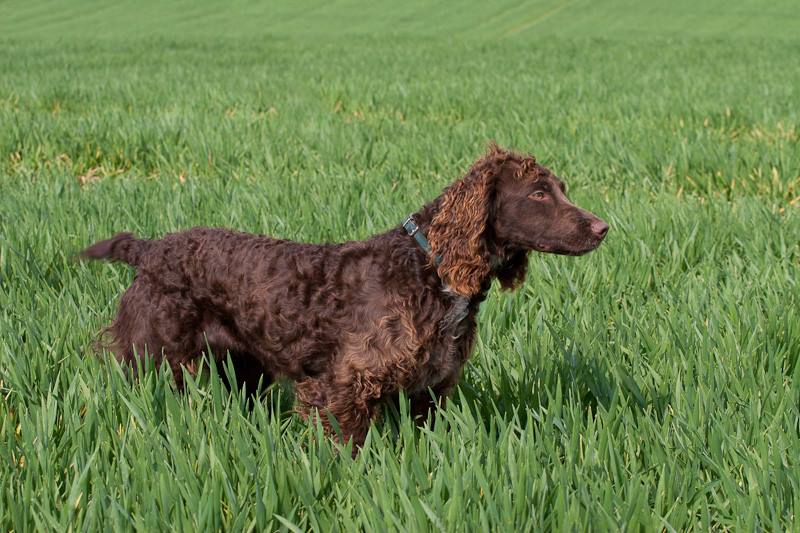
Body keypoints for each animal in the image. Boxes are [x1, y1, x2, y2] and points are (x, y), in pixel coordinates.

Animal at [81, 142, 608, 448]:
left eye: (561, 188)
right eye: (538, 193)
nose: (603, 227)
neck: (429, 268)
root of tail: (151, 249)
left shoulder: (429, 391)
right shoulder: (341, 387)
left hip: (243, 368)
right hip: (151, 358)